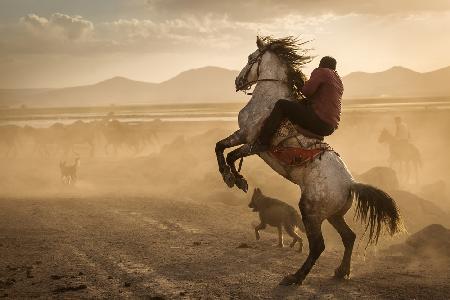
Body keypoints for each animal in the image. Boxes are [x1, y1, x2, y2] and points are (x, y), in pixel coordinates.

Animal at [214, 37, 404, 286]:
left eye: (251, 57)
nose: (238, 81)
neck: (269, 100)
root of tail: (351, 184)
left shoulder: (252, 142)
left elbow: (231, 155)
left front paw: (236, 179)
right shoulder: (241, 135)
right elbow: (220, 147)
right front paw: (231, 176)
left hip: (311, 211)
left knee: (318, 245)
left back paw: (295, 276)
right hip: (333, 215)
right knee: (349, 237)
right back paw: (340, 271)